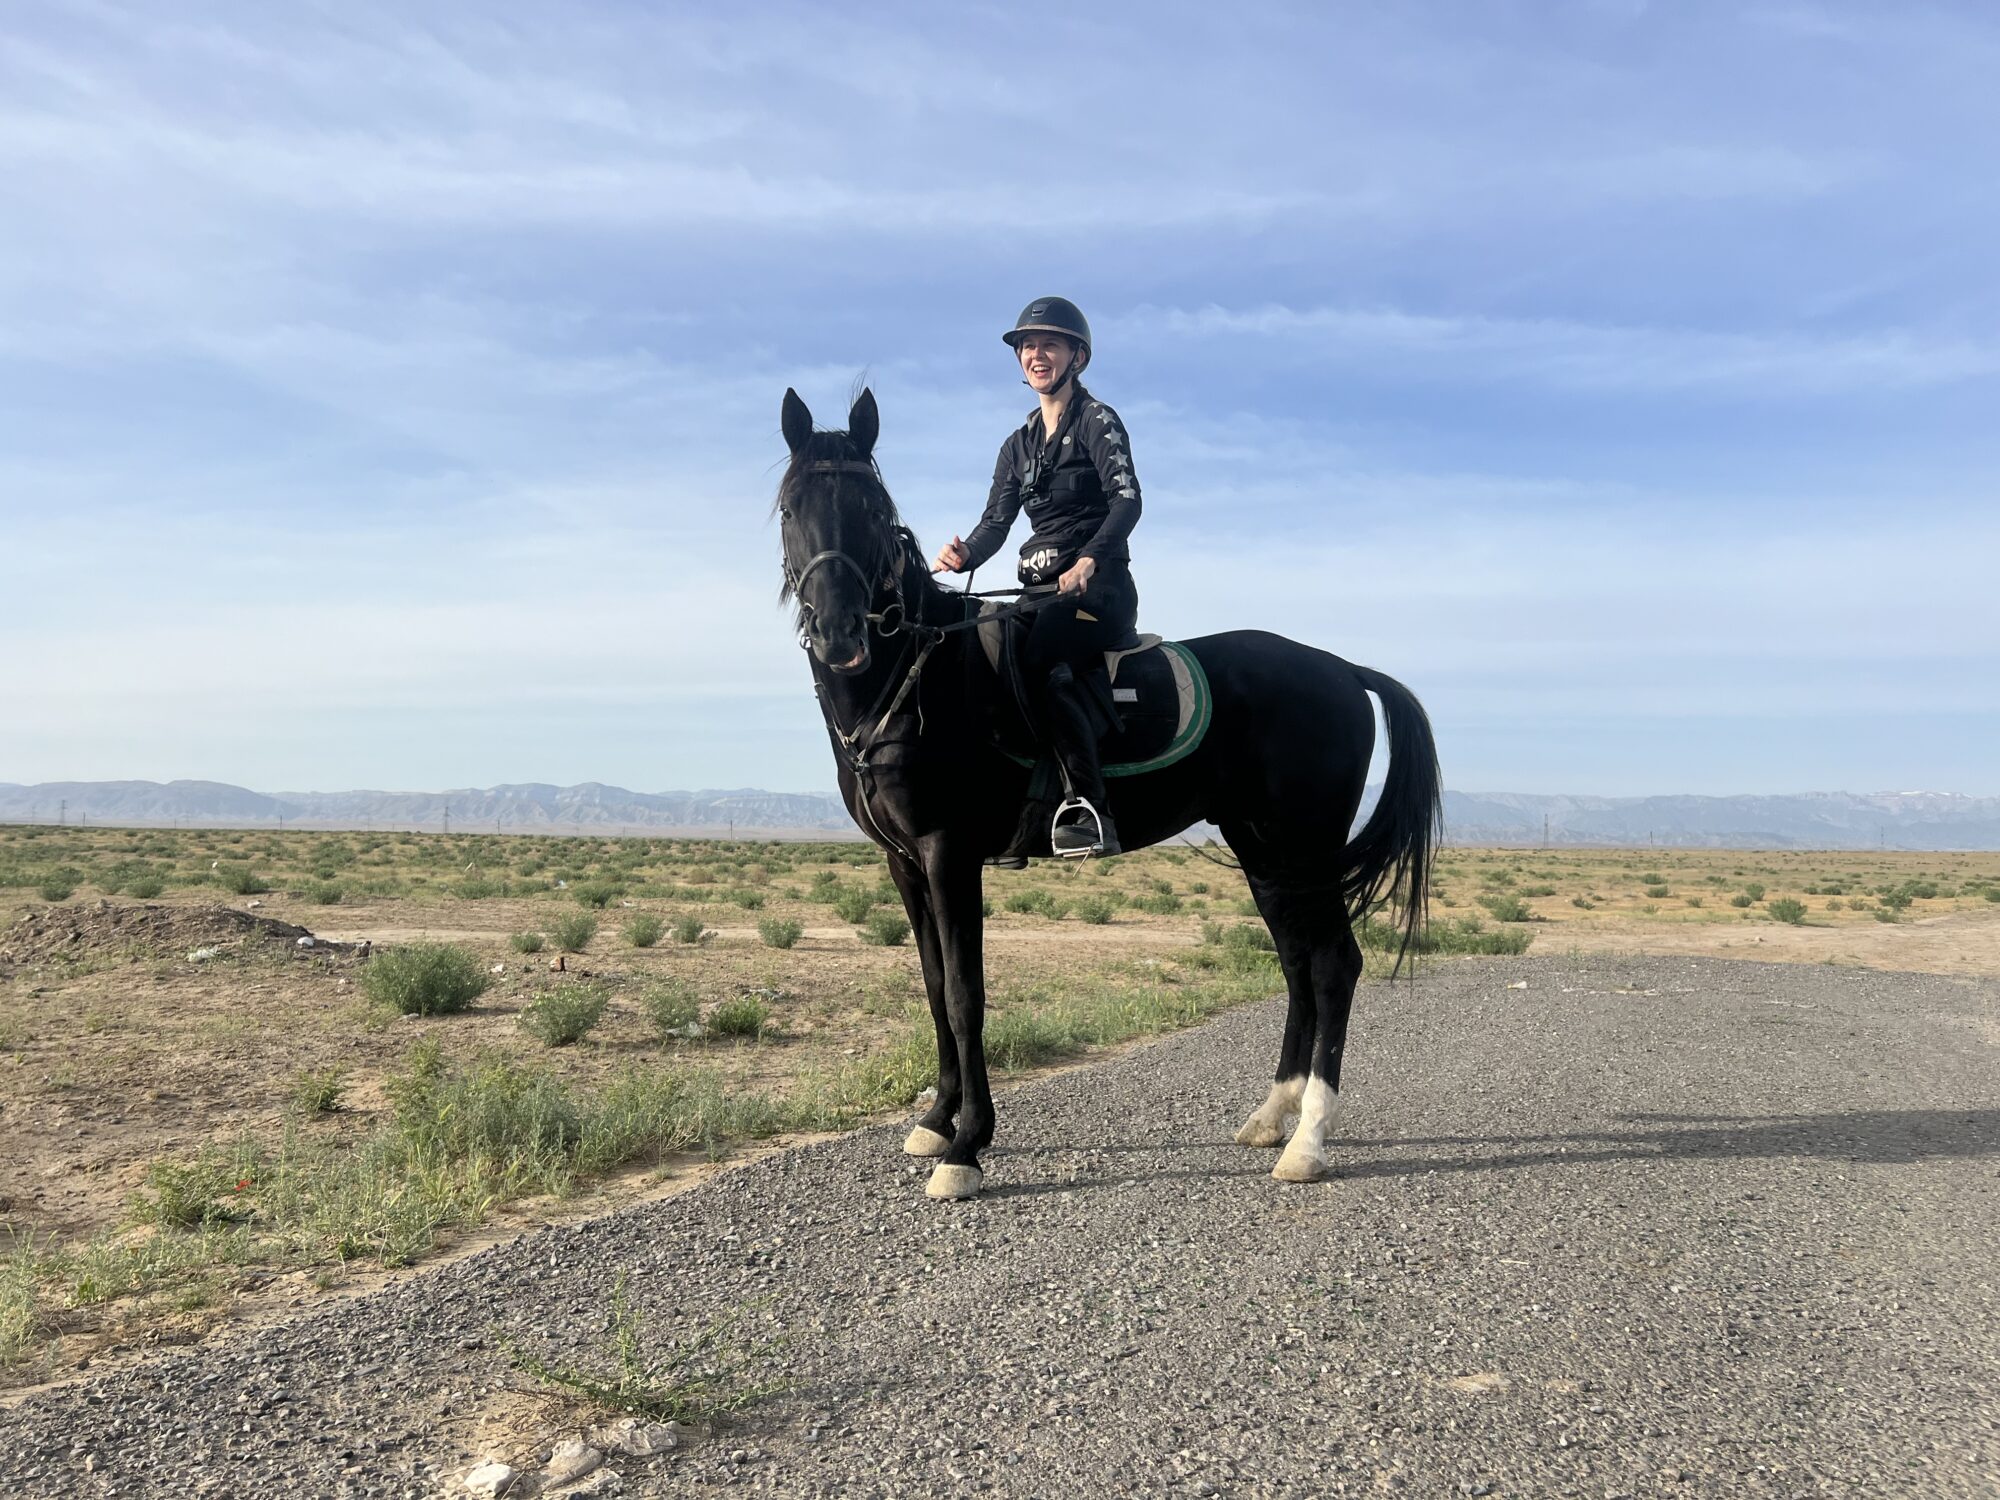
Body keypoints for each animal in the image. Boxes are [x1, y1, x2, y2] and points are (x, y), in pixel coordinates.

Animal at [776, 387, 1442, 1200]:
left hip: (1303, 848)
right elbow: (934, 989)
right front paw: (937, 1120)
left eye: (871, 509)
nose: (840, 633)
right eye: (791, 507)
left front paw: (966, 1146)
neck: (917, 680)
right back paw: (1271, 1116)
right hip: (1265, 852)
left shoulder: (948, 855)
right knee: (1298, 963)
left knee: (1334, 965)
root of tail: (1344, 669)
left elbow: (966, 995)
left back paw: (1308, 1141)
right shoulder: (904, 864)